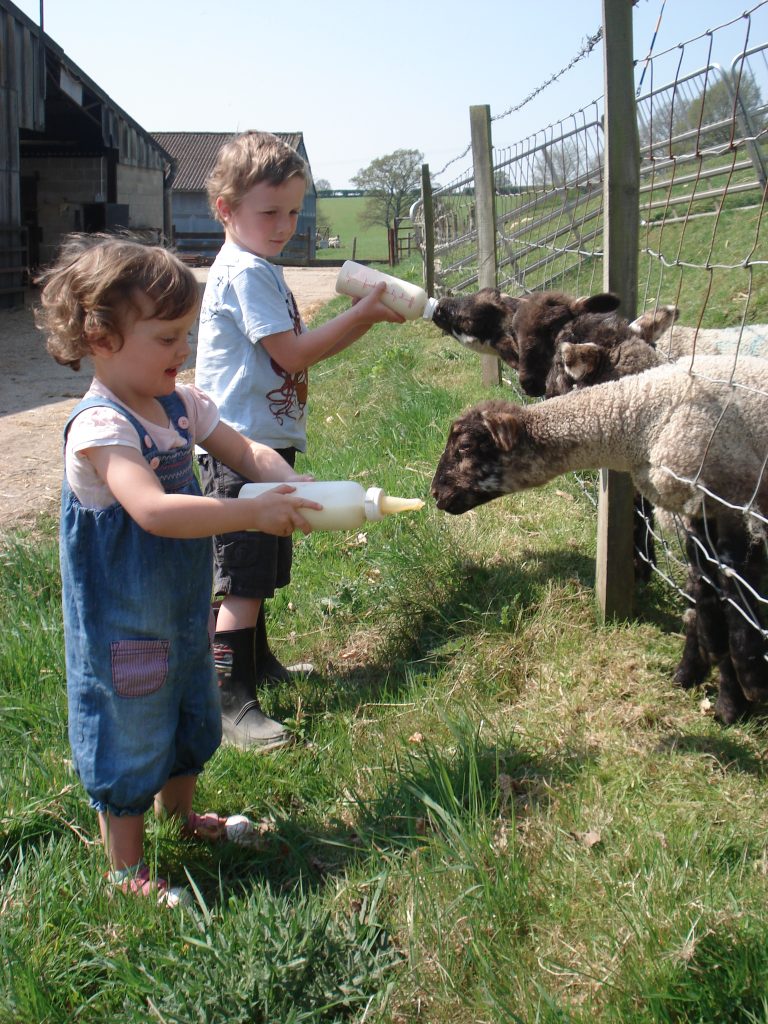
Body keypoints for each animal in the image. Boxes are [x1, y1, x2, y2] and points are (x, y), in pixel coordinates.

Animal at [434, 356, 768, 724]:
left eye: (464, 447)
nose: (435, 494)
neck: (639, 420)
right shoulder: (696, 511)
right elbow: (703, 593)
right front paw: (691, 674)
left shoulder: (730, 497)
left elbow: (732, 599)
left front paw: (737, 696)